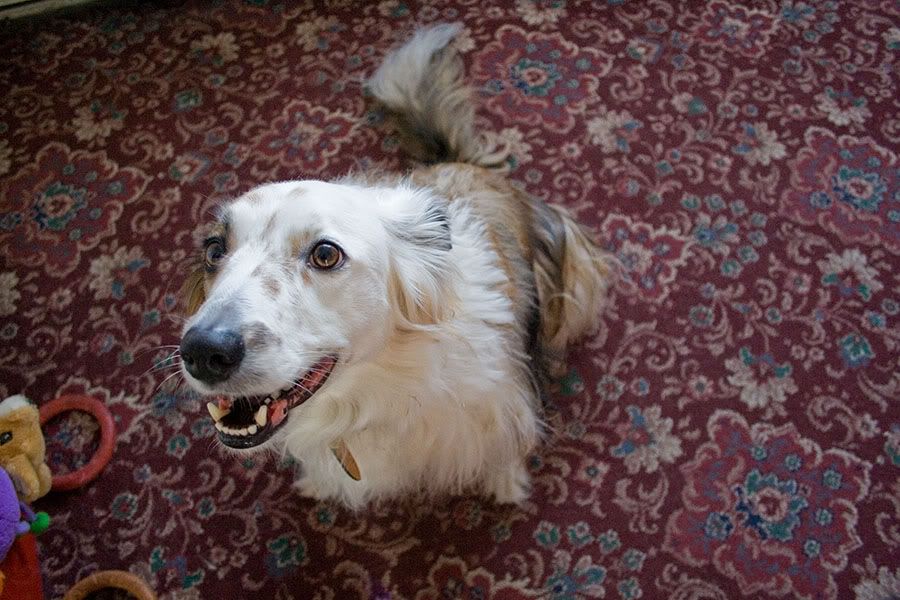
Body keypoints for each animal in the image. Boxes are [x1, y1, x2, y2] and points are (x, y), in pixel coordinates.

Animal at [177, 23, 611, 509]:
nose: (202, 352)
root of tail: (462, 163)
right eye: (215, 250)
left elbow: (505, 451)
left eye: (326, 254)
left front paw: (506, 484)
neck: (384, 390)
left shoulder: (505, 407)